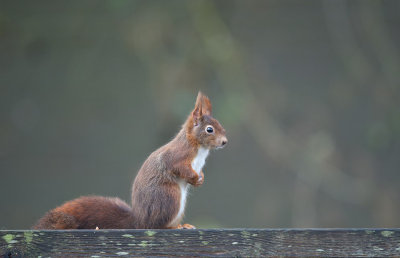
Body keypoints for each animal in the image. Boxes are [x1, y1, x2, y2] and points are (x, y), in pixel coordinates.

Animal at [32, 91, 227, 229]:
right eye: (209, 129)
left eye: (220, 125)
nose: (225, 142)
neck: (199, 148)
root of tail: (139, 221)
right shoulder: (178, 155)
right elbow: (178, 167)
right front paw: (194, 178)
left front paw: (200, 178)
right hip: (170, 196)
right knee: (157, 225)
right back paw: (174, 227)